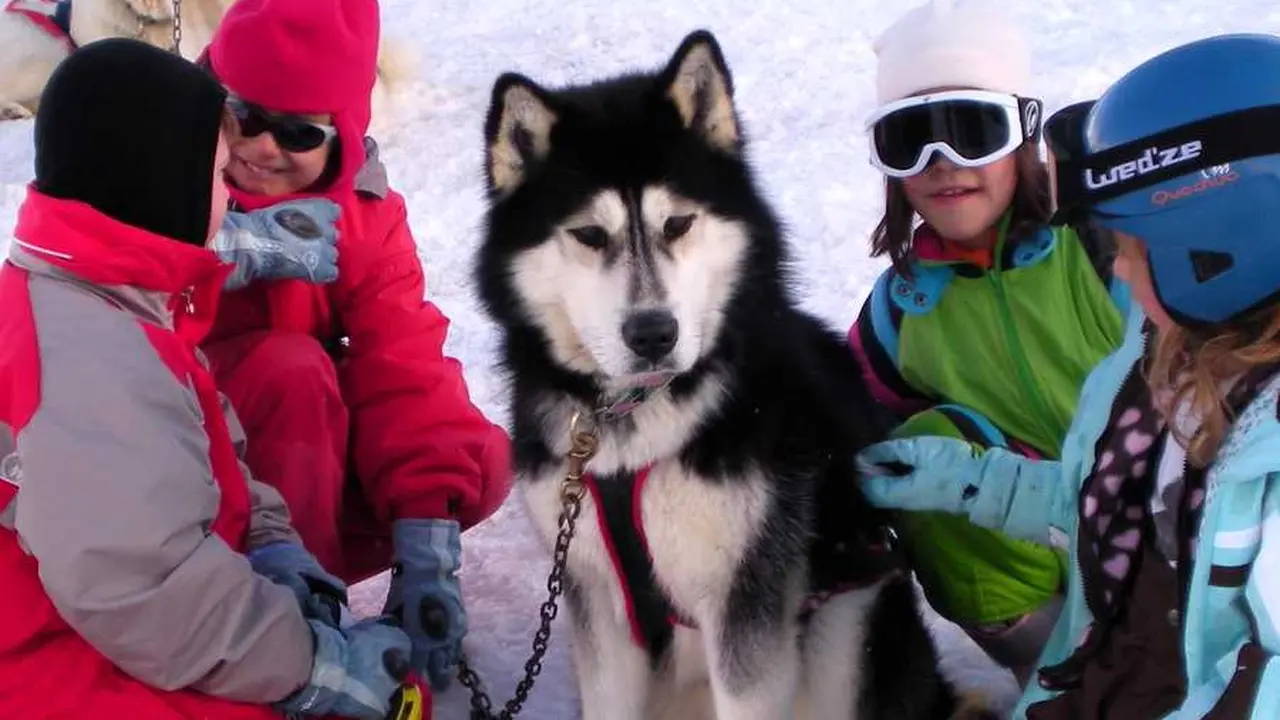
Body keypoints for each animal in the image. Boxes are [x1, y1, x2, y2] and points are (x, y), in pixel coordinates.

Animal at [476, 29, 993, 717]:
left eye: (677, 223)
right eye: (588, 234)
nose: (653, 333)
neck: (636, 424)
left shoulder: (746, 603)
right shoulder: (597, 608)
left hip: (844, 624)